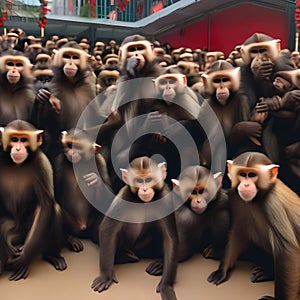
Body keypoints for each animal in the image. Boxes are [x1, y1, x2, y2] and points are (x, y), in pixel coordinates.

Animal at [0, 119, 67, 282]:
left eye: (23, 139)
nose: (18, 148)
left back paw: (52, 256)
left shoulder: (41, 162)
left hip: (29, 232)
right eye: (14, 139)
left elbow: (46, 205)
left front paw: (24, 258)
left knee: (54, 211)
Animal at [91, 157, 178, 300]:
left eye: (148, 180)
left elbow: (170, 238)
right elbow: (107, 230)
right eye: (139, 181)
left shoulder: (164, 195)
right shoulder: (124, 195)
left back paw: (158, 264)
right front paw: (105, 276)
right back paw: (124, 256)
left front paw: (166, 286)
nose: (144, 189)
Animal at [209, 152, 300, 300]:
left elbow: (287, 249)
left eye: (252, 175)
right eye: (242, 174)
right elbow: (237, 232)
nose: (245, 185)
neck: (257, 198)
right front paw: (222, 270)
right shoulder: (235, 197)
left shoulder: (273, 204)